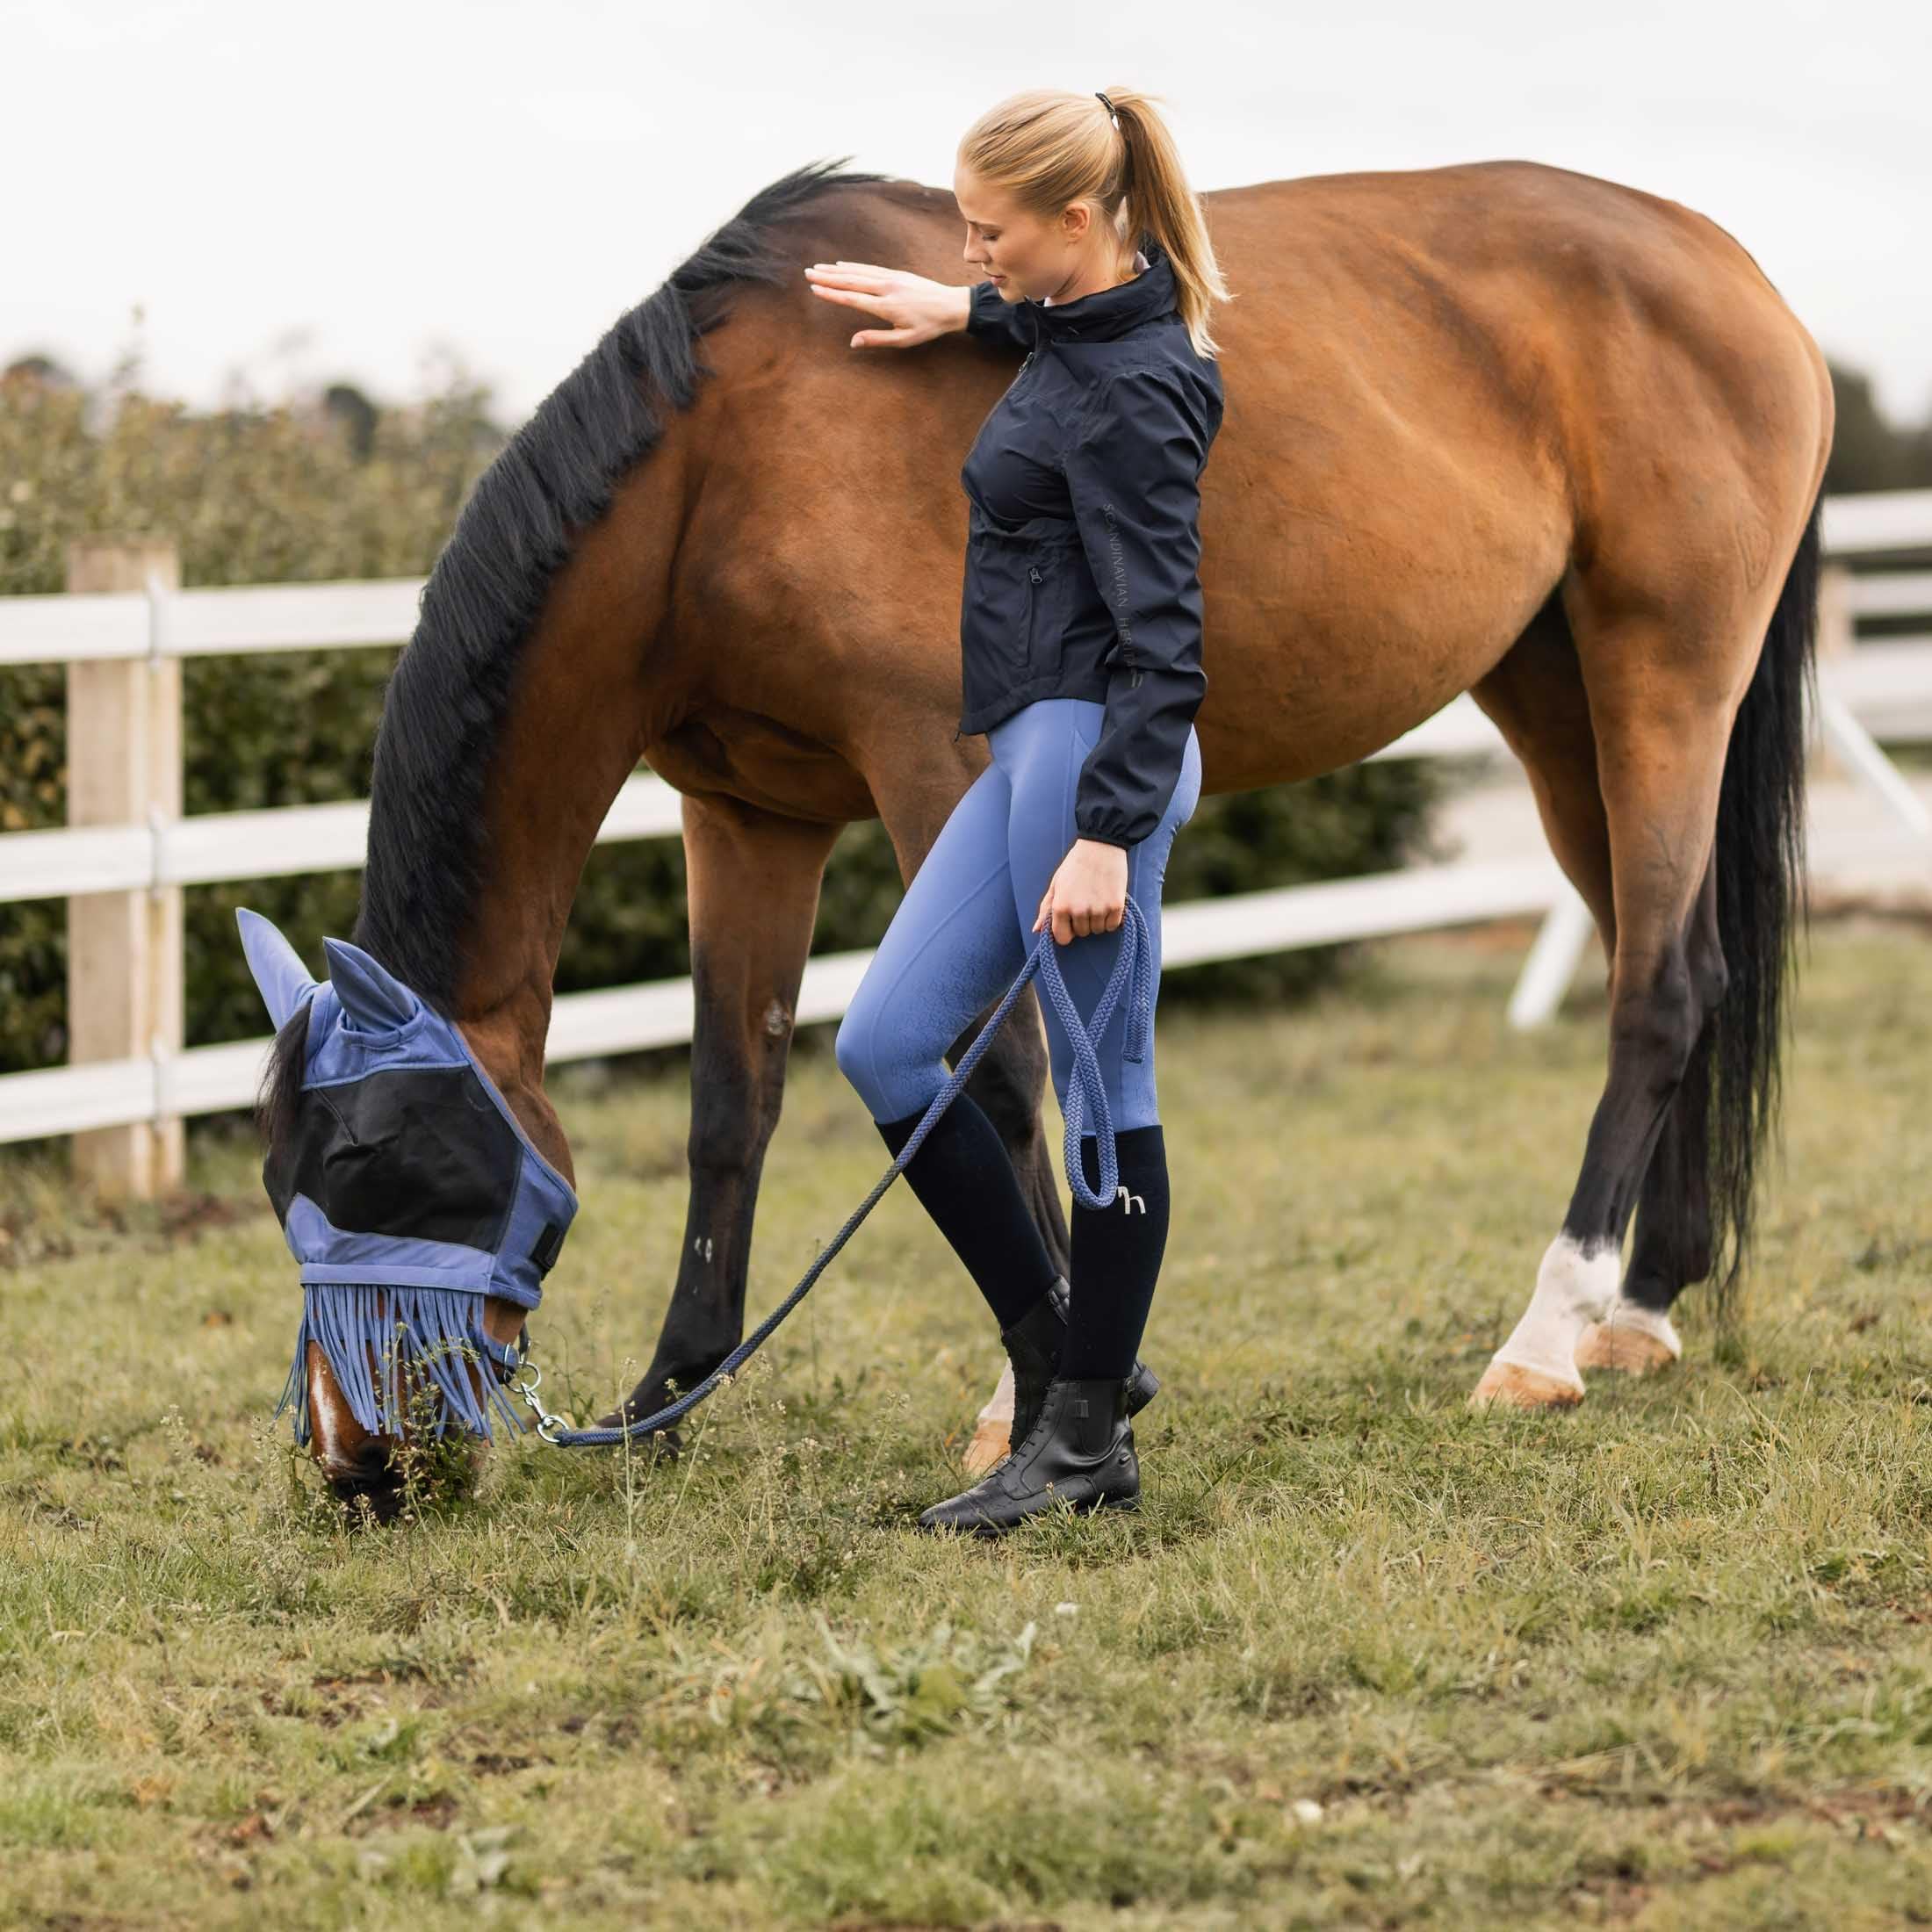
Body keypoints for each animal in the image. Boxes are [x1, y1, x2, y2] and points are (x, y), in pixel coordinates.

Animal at [257, 155, 1832, 1512]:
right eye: (285, 1183)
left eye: (375, 1167)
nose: (353, 1462)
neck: (731, 453)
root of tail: (1740, 276)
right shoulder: (748, 815)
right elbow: (729, 1101)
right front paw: (668, 1397)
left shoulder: (936, 769)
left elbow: (1006, 1081)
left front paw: (1051, 1395)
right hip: (1556, 704)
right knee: (1684, 970)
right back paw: (1642, 1305)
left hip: (1660, 681)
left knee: (1657, 991)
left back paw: (1548, 1334)